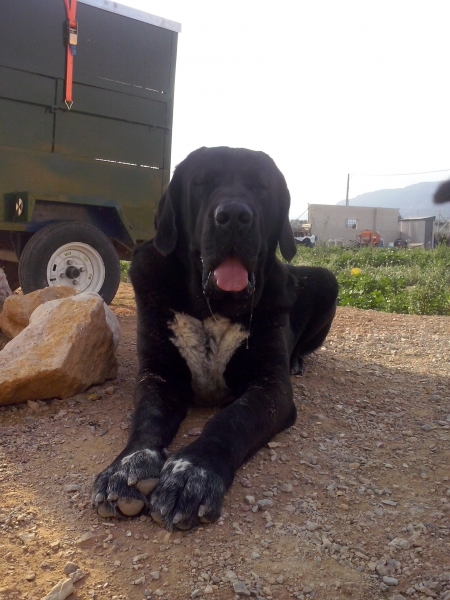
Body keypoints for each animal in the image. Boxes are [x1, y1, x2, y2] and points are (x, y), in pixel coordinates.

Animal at [92, 146, 338, 528]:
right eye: (202, 183)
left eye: (260, 186)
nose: (234, 215)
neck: (213, 308)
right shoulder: (158, 375)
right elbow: (147, 417)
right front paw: (125, 468)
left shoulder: (271, 387)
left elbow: (231, 420)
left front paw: (191, 474)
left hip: (327, 279)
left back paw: (297, 360)